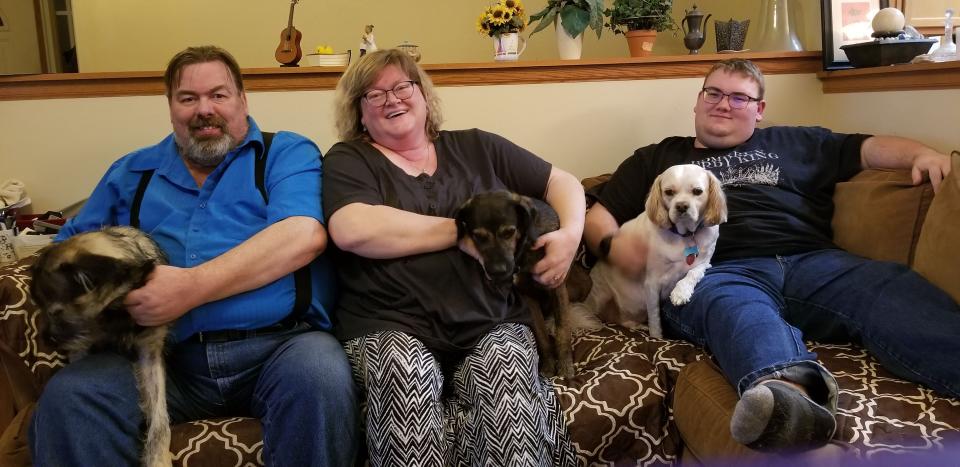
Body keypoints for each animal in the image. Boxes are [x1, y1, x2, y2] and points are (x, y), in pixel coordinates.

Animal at [454, 191, 572, 380]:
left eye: (509, 232)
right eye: (478, 236)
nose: (497, 271)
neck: (523, 248)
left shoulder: (557, 285)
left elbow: (563, 330)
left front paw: (566, 366)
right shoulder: (527, 296)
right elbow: (541, 335)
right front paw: (548, 364)